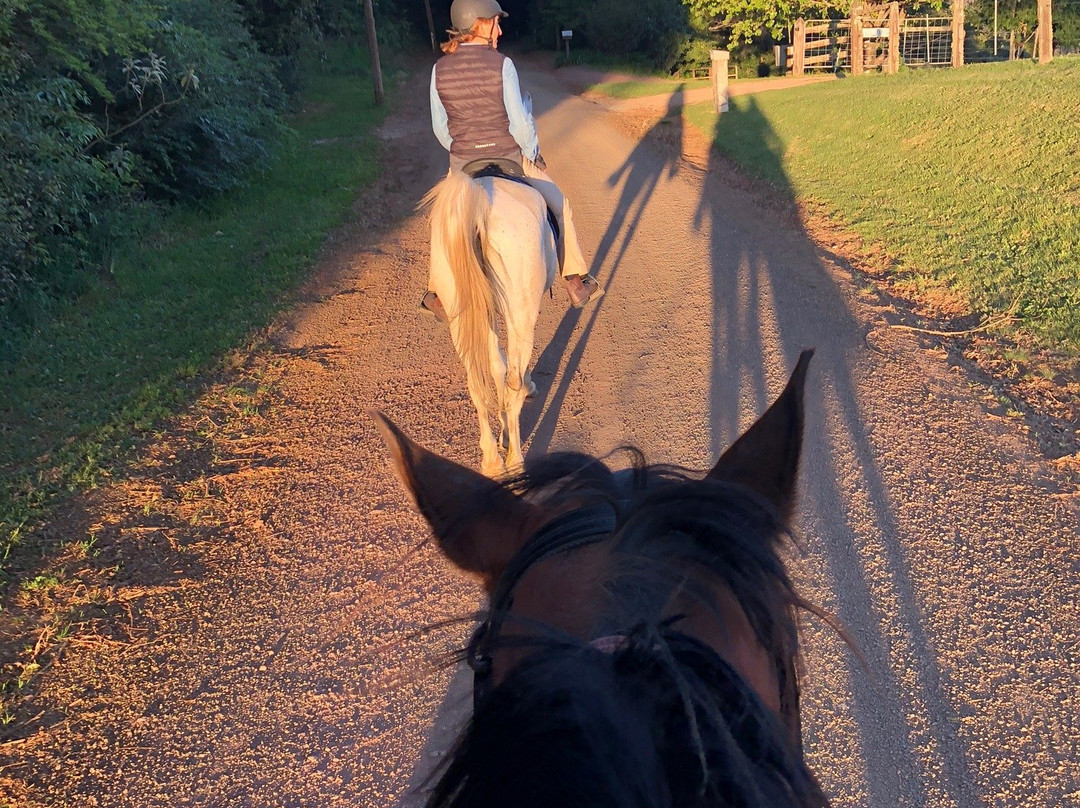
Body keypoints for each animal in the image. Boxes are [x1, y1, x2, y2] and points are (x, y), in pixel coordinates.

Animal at [420, 162, 559, 478]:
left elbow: (496, 367)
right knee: (514, 379)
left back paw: (492, 460)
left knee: (475, 379)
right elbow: (510, 372)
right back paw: (515, 459)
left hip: (462, 315)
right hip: (520, 311)